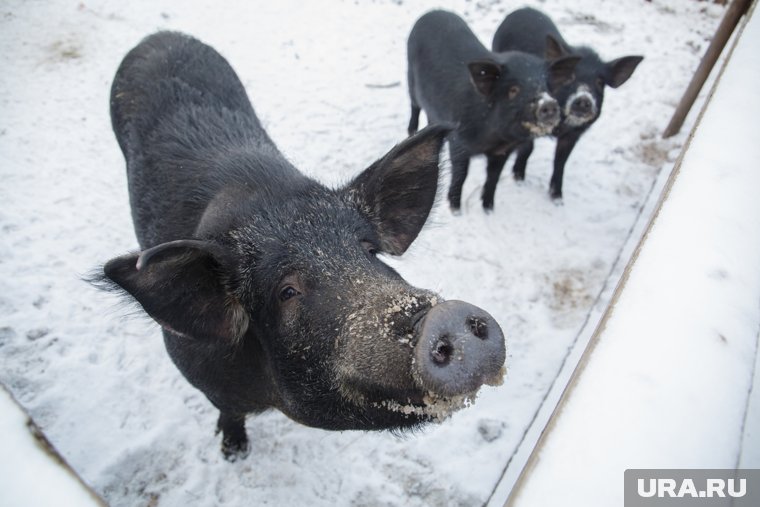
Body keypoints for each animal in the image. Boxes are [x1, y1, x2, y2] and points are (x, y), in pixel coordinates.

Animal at [101, 30, 504, 460]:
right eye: (287, 291)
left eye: (368, 251)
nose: (447, 316)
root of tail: (160, 36)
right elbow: (229, 410)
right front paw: (234, 452)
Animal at [410, 10, 576, 212]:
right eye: (513, 90)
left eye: (547, 87)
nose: (548, 104)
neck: (494, 137)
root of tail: (433, 11)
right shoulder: (459, 142)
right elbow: (461, 175)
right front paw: (455, 209)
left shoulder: (502, 151)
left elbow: (493, 178)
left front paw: (488, 209)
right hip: (410, 78)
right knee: (415, 106)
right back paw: (412, 131)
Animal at [492, 7, 640, 200]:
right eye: (571, 76)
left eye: (600, 82)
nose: (584, 99)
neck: (559, 127)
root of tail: (523, 9)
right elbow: (528, 147)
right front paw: (519, 178)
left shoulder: (573, 135)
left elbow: (561, 162)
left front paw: (557, 198)